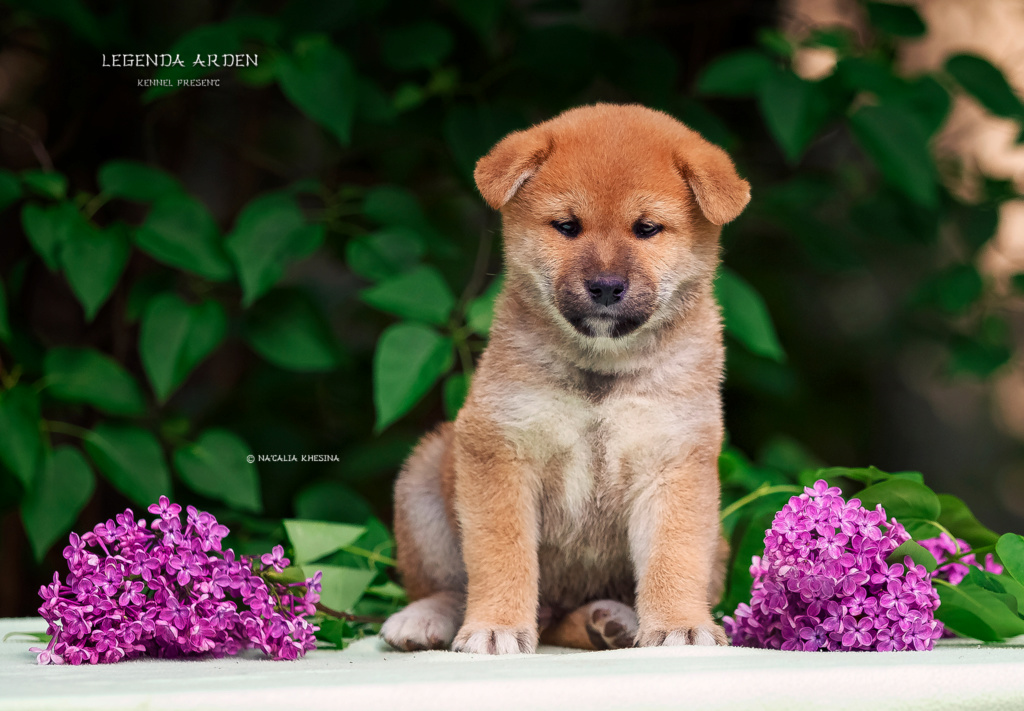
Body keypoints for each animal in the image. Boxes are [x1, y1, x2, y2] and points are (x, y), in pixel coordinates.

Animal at [380, 102, 749, 655]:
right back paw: (425, 618)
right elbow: (500, 553)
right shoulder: (500, 449)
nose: (605, 286)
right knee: (450, 585)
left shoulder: (673, 460)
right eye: (567, 226)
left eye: (647, 229)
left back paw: (612, 620)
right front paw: (495, 626)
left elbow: (673, 557)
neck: (603, 370)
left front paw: (679, 625)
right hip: (424, 479)